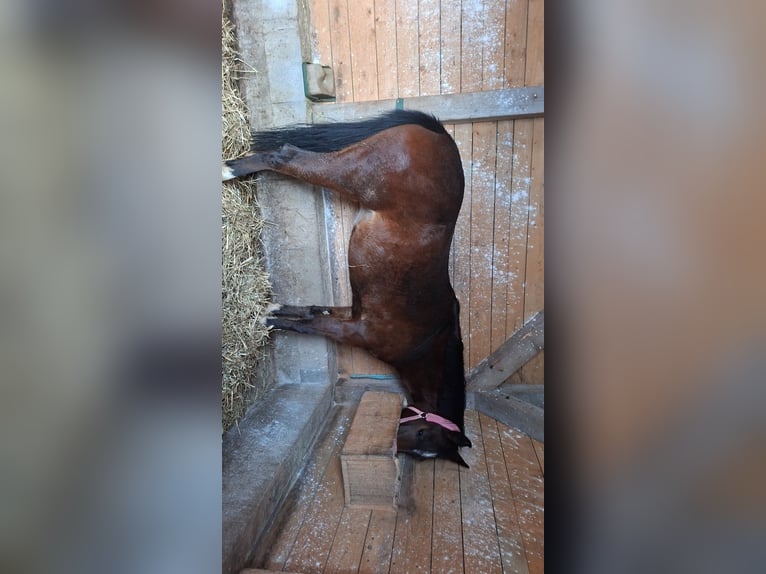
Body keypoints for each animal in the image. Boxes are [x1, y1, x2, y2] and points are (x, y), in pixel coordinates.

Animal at [223, 110, 472, 467]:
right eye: (424, 434)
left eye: (423, 445)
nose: (391, 446)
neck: (427, 339)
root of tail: (442, 138)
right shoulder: (355, 331)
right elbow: (311, 326)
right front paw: (264, 322)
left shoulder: (351, 314)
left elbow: (310, 312)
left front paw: (271, 309)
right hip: (348, 173)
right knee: (286, 156)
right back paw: (229, 170)